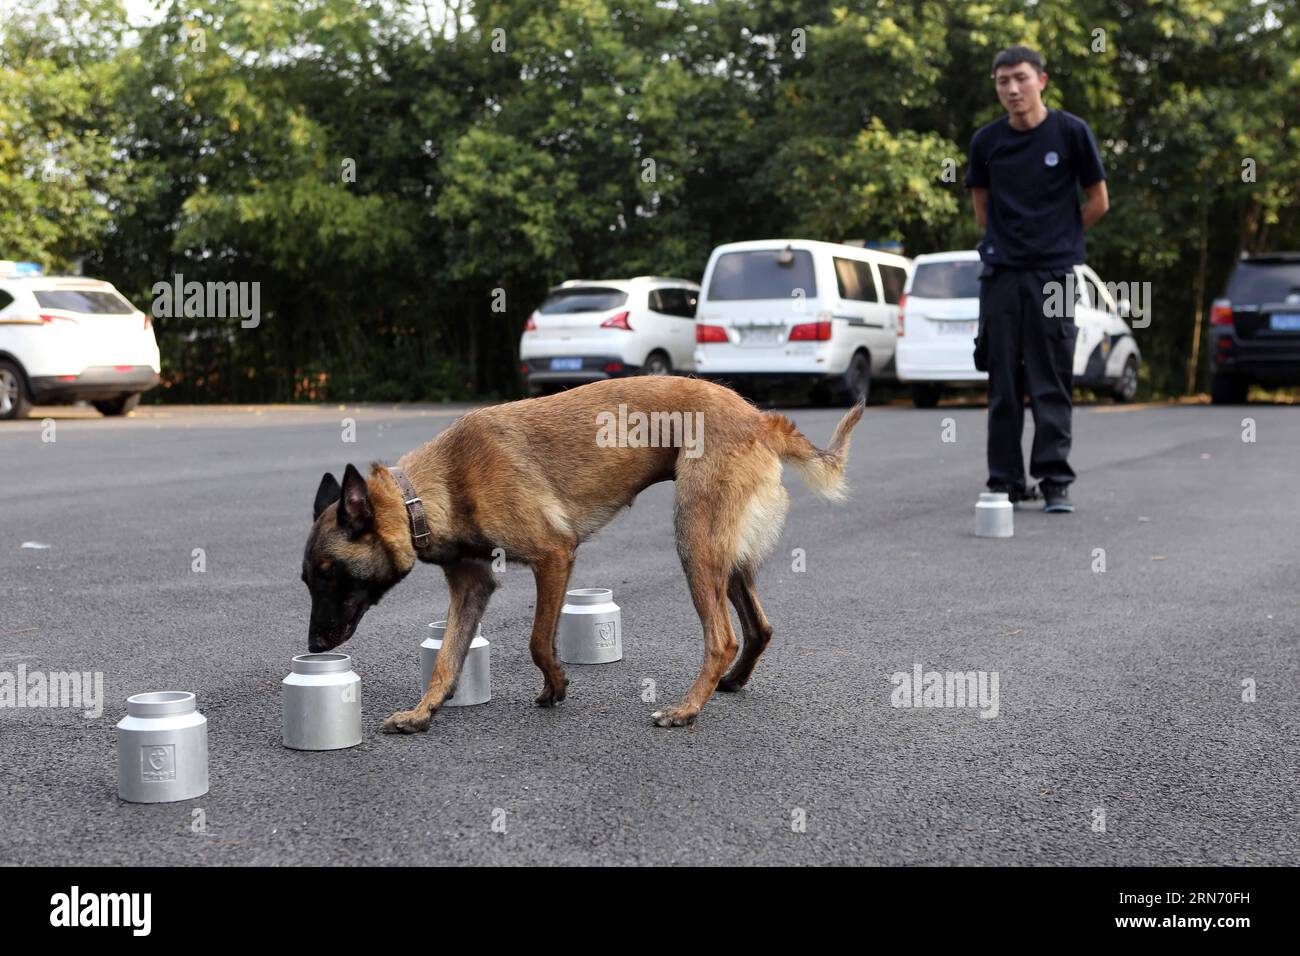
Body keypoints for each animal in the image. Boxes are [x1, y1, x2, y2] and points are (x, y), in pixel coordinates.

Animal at [299, 377, 857, 728]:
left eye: (329, 574)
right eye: (308, 580)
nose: (315, 645)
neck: (431, 489)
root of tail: (760, 419)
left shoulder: (554, 556)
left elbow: (537, 640)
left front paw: (557, 686)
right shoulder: (472, 586)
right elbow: (446, 659)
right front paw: (424, 711)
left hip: (694, 542)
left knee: (722, 638)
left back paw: (686, 709)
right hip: (728, 554)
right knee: (759, 628)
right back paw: (731, 682)